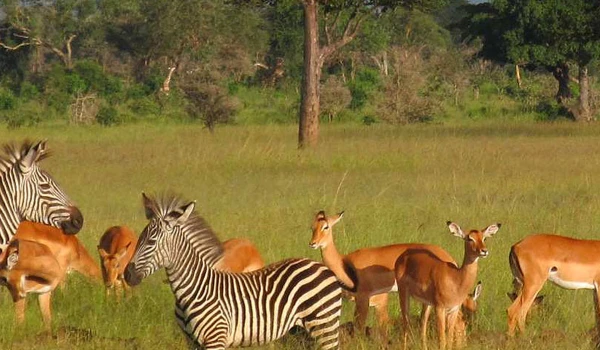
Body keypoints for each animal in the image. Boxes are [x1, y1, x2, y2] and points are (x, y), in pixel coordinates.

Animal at [125, 194, 342, 350]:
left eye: (151, 242)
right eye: (139, 238)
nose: (127, 275)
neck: (194, 290)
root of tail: (320, 266)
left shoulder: (215, 339)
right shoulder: (192, 343)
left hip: (325, 326)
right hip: (302, 330)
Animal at [310, 209, 482, 338]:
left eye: (326, 227)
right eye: (312, 227)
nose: (313, 243)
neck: (344, 263)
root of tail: (448, 258)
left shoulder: (365, 299)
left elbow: (360, 330)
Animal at [396, 221, 500, 350]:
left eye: (484, 238)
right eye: (469, 238)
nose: (484, 251)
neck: (456, 279)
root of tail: (403, 256)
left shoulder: (453, 309)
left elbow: (449, 339)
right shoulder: (440, 308)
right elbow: (442, 340)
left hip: (427, 303)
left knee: (422, 324)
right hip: (403, 293)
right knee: (406, 323)